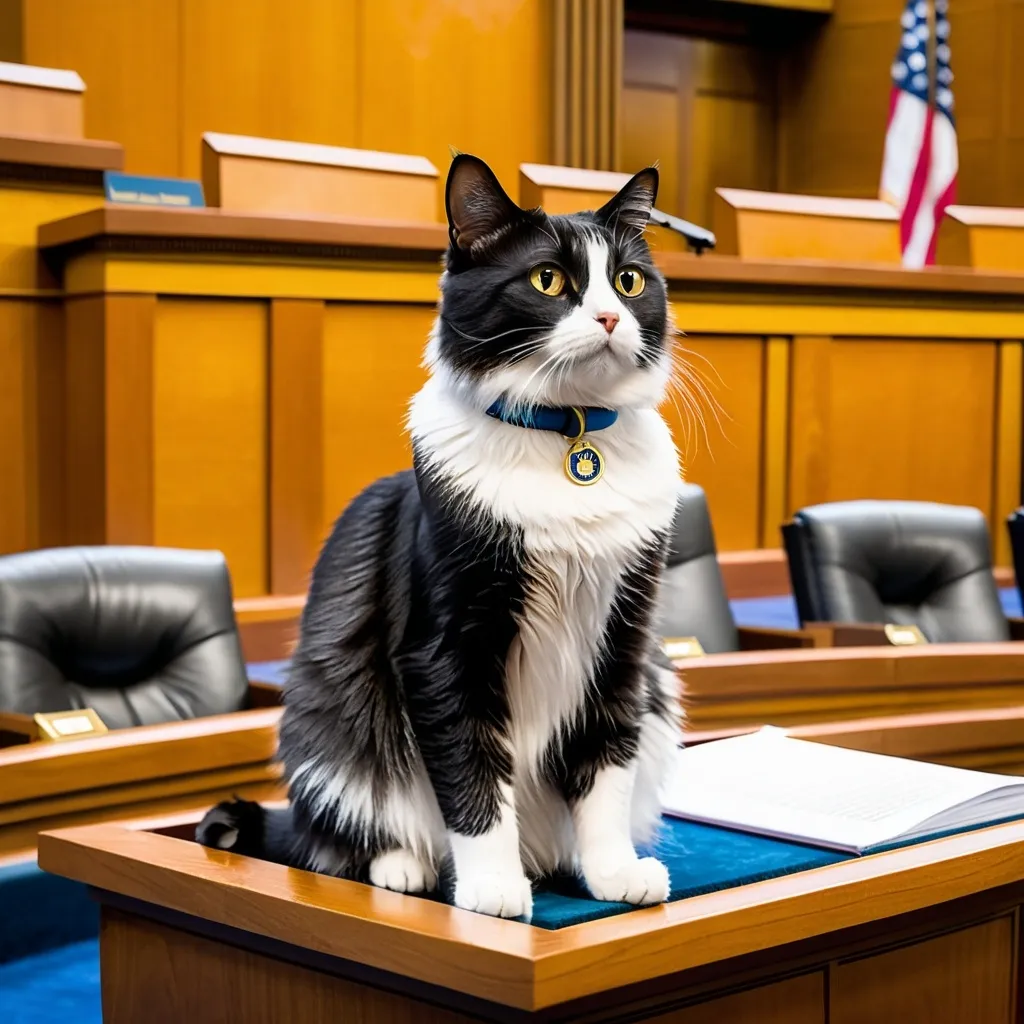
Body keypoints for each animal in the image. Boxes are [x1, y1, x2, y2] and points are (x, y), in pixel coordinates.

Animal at [195, 153, 684, 921]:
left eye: (630, 281)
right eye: (549, 279)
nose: (610, 316)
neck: (567, 437)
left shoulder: (623, 641)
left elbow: (606, 764)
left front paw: (612, 870)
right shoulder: (447, 643)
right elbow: (470, 767)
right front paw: (490, 888)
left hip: (660, 690)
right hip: (331, 716)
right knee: (342, 833)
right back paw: (408, 867)